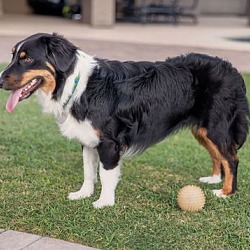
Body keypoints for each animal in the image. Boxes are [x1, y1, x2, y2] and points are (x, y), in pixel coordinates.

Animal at [0, 33, 249, 209]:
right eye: (13, 55)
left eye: (27, 58)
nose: (0, 81)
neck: (78, 86)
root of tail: (234, 70)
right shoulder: (88, 139)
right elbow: (88, 171)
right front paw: (83, 194)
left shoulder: (109, 143)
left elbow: (105, 173)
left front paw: (104, 202)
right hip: (203, 129)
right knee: (218, 155)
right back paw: (214, 179)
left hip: (216, 127)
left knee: (231, 158)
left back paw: (226, 192)